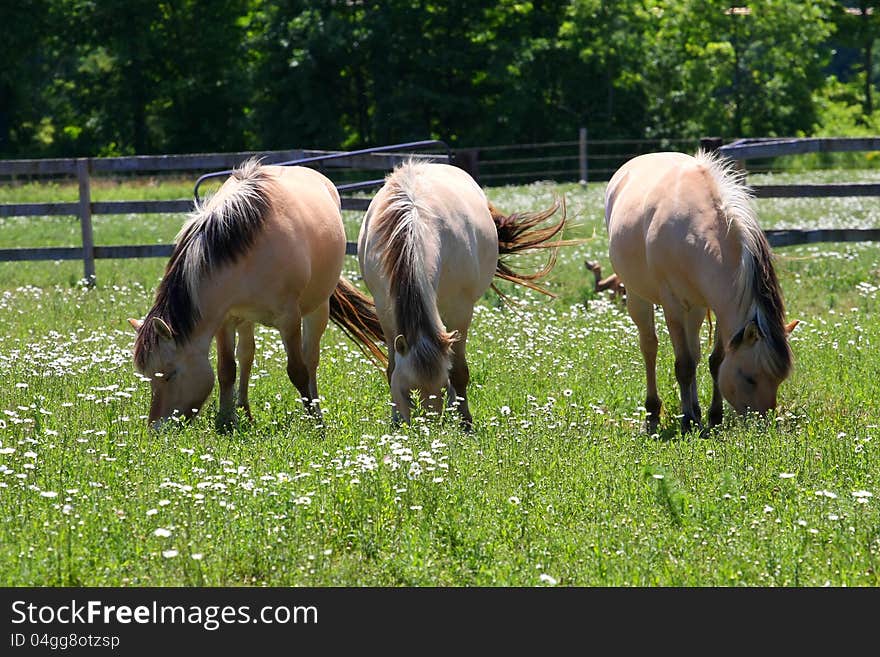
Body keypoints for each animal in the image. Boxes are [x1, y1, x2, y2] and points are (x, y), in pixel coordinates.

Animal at [128, 156, 384, 428]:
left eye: (169, 374)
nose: (156, 428)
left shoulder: (289, 319)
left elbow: (298, 370)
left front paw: (314, 423)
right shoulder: (225, 319)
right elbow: (226, 369)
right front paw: (226, 421)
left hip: (318, 307)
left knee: (311, 358)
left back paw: (315, 410)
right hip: (245, 317)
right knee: (246, 355)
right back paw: (244, 410)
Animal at [358, 158, 572, 426]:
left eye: (440, 387)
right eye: (407, 393)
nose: (425, 432)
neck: (412, 224)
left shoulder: (460, 309)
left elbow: (458, 371)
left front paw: (465, 421)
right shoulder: (385, 310)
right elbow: (391, 368)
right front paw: (396, 420)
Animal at [604, 151, 796, 434]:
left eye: (779, 379)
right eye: (749, 378)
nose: (765, 424)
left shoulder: (715, 306)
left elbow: (714, 361)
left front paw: (714, 416)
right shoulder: (672, 304)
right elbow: (683, 364)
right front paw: (688, 421)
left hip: (694, 309)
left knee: (693, 351)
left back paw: (694, 407)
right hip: (638, 296)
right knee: (650, 347)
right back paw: (653, 414)